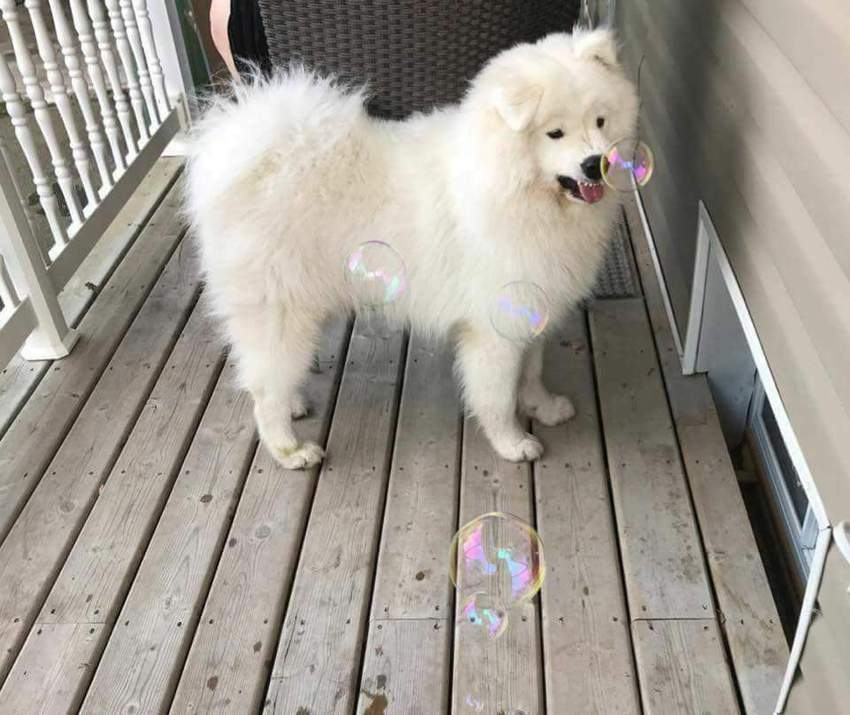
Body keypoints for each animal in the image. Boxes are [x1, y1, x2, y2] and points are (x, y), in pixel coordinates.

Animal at [185, 28, 638, 469]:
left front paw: (543, 407)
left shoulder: (532, 306)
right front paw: (512, 443)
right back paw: (291, 450)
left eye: (600, 121)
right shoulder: (496, 322)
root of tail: (249, 150)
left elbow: (532, 372)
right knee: (265, 390)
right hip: (279, 308)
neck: (513, 189)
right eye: (554, 133)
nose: (595, 162)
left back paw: (295, 404)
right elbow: (498, 395)